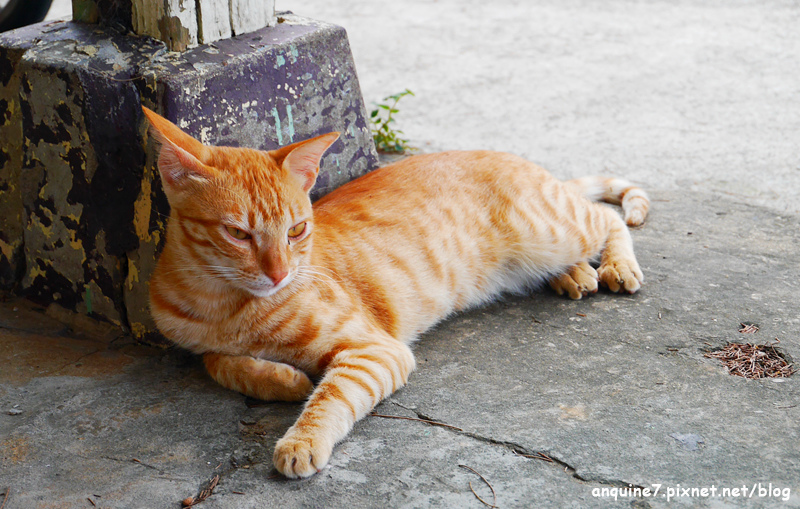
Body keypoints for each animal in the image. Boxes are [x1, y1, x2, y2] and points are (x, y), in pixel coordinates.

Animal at [141, 106, 648, 476]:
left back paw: (616, 265)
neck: (221, 306)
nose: (281, 274)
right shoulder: (199, 343)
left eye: (297, 230)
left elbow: (329, 398)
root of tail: (514, 157)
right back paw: (573, 275)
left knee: (609, 217)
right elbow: (216, 363)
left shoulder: (375, 350)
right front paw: (283, 379)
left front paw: (301, 440)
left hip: (548, 229)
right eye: (237, 234)